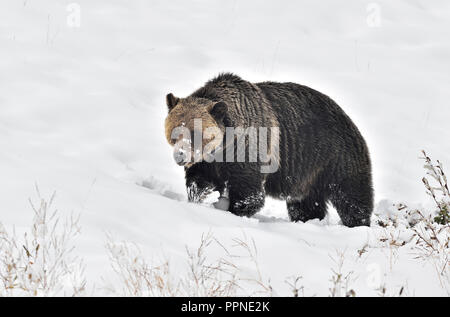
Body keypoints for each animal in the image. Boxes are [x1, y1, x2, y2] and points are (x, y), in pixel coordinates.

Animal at [163, 73, 374, 227]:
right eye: (175, 131)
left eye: (195, 132)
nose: (181, 156)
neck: (224, 146)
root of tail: (346, 116)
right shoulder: (207, 162)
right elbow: (199, 183)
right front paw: (198, 199)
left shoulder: (249, 151)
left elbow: (250, 193)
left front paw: (234, 210)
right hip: (308, 175)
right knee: (305, 205)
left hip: (335, 157)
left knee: (351, 195)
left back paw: (358, 223)